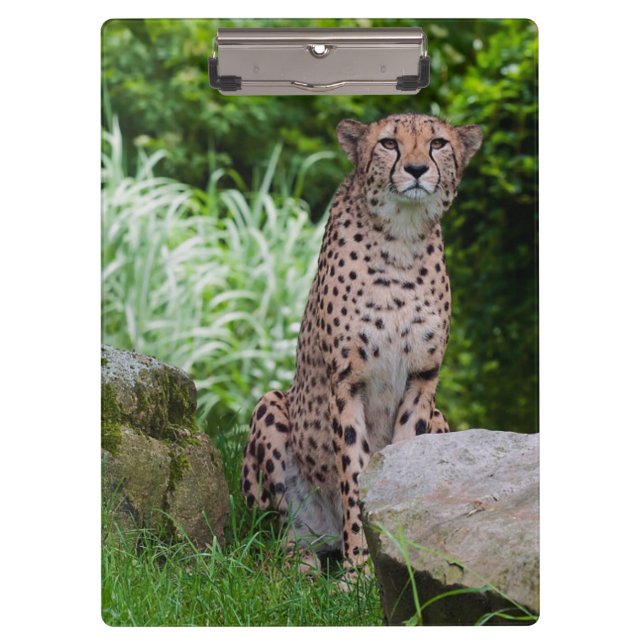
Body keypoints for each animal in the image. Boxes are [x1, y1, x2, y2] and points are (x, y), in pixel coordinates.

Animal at [240, 113, 482, 575]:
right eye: (389, 143)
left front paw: (395, 551)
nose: (416, 169)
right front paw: (359, 571)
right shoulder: (347, 382)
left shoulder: (422, 380)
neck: (402, 239)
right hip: (272, 408)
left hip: (440, 417)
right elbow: (354, 474)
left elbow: (401, 467)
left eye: (438, 143)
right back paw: (302, 560)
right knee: (273, 536)